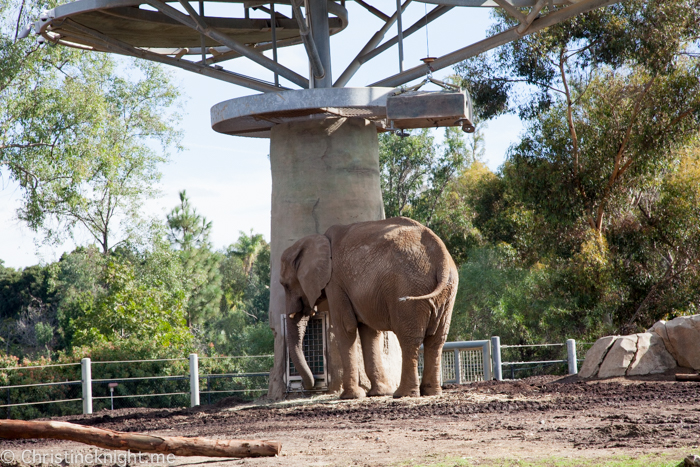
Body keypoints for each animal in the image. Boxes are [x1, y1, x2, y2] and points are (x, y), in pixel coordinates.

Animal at [278, 216, 460, 398]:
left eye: (285, 285)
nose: (308, 385)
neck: (317, 239)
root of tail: (442, 257)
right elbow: (369, 332)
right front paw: (378, 393)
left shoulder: (335, 283)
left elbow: (345, 329)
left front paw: (350, 396)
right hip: (448, 291)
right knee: (436, 339)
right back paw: (431, 392)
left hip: (409, 287)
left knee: (410, 338)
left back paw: (403, 394)